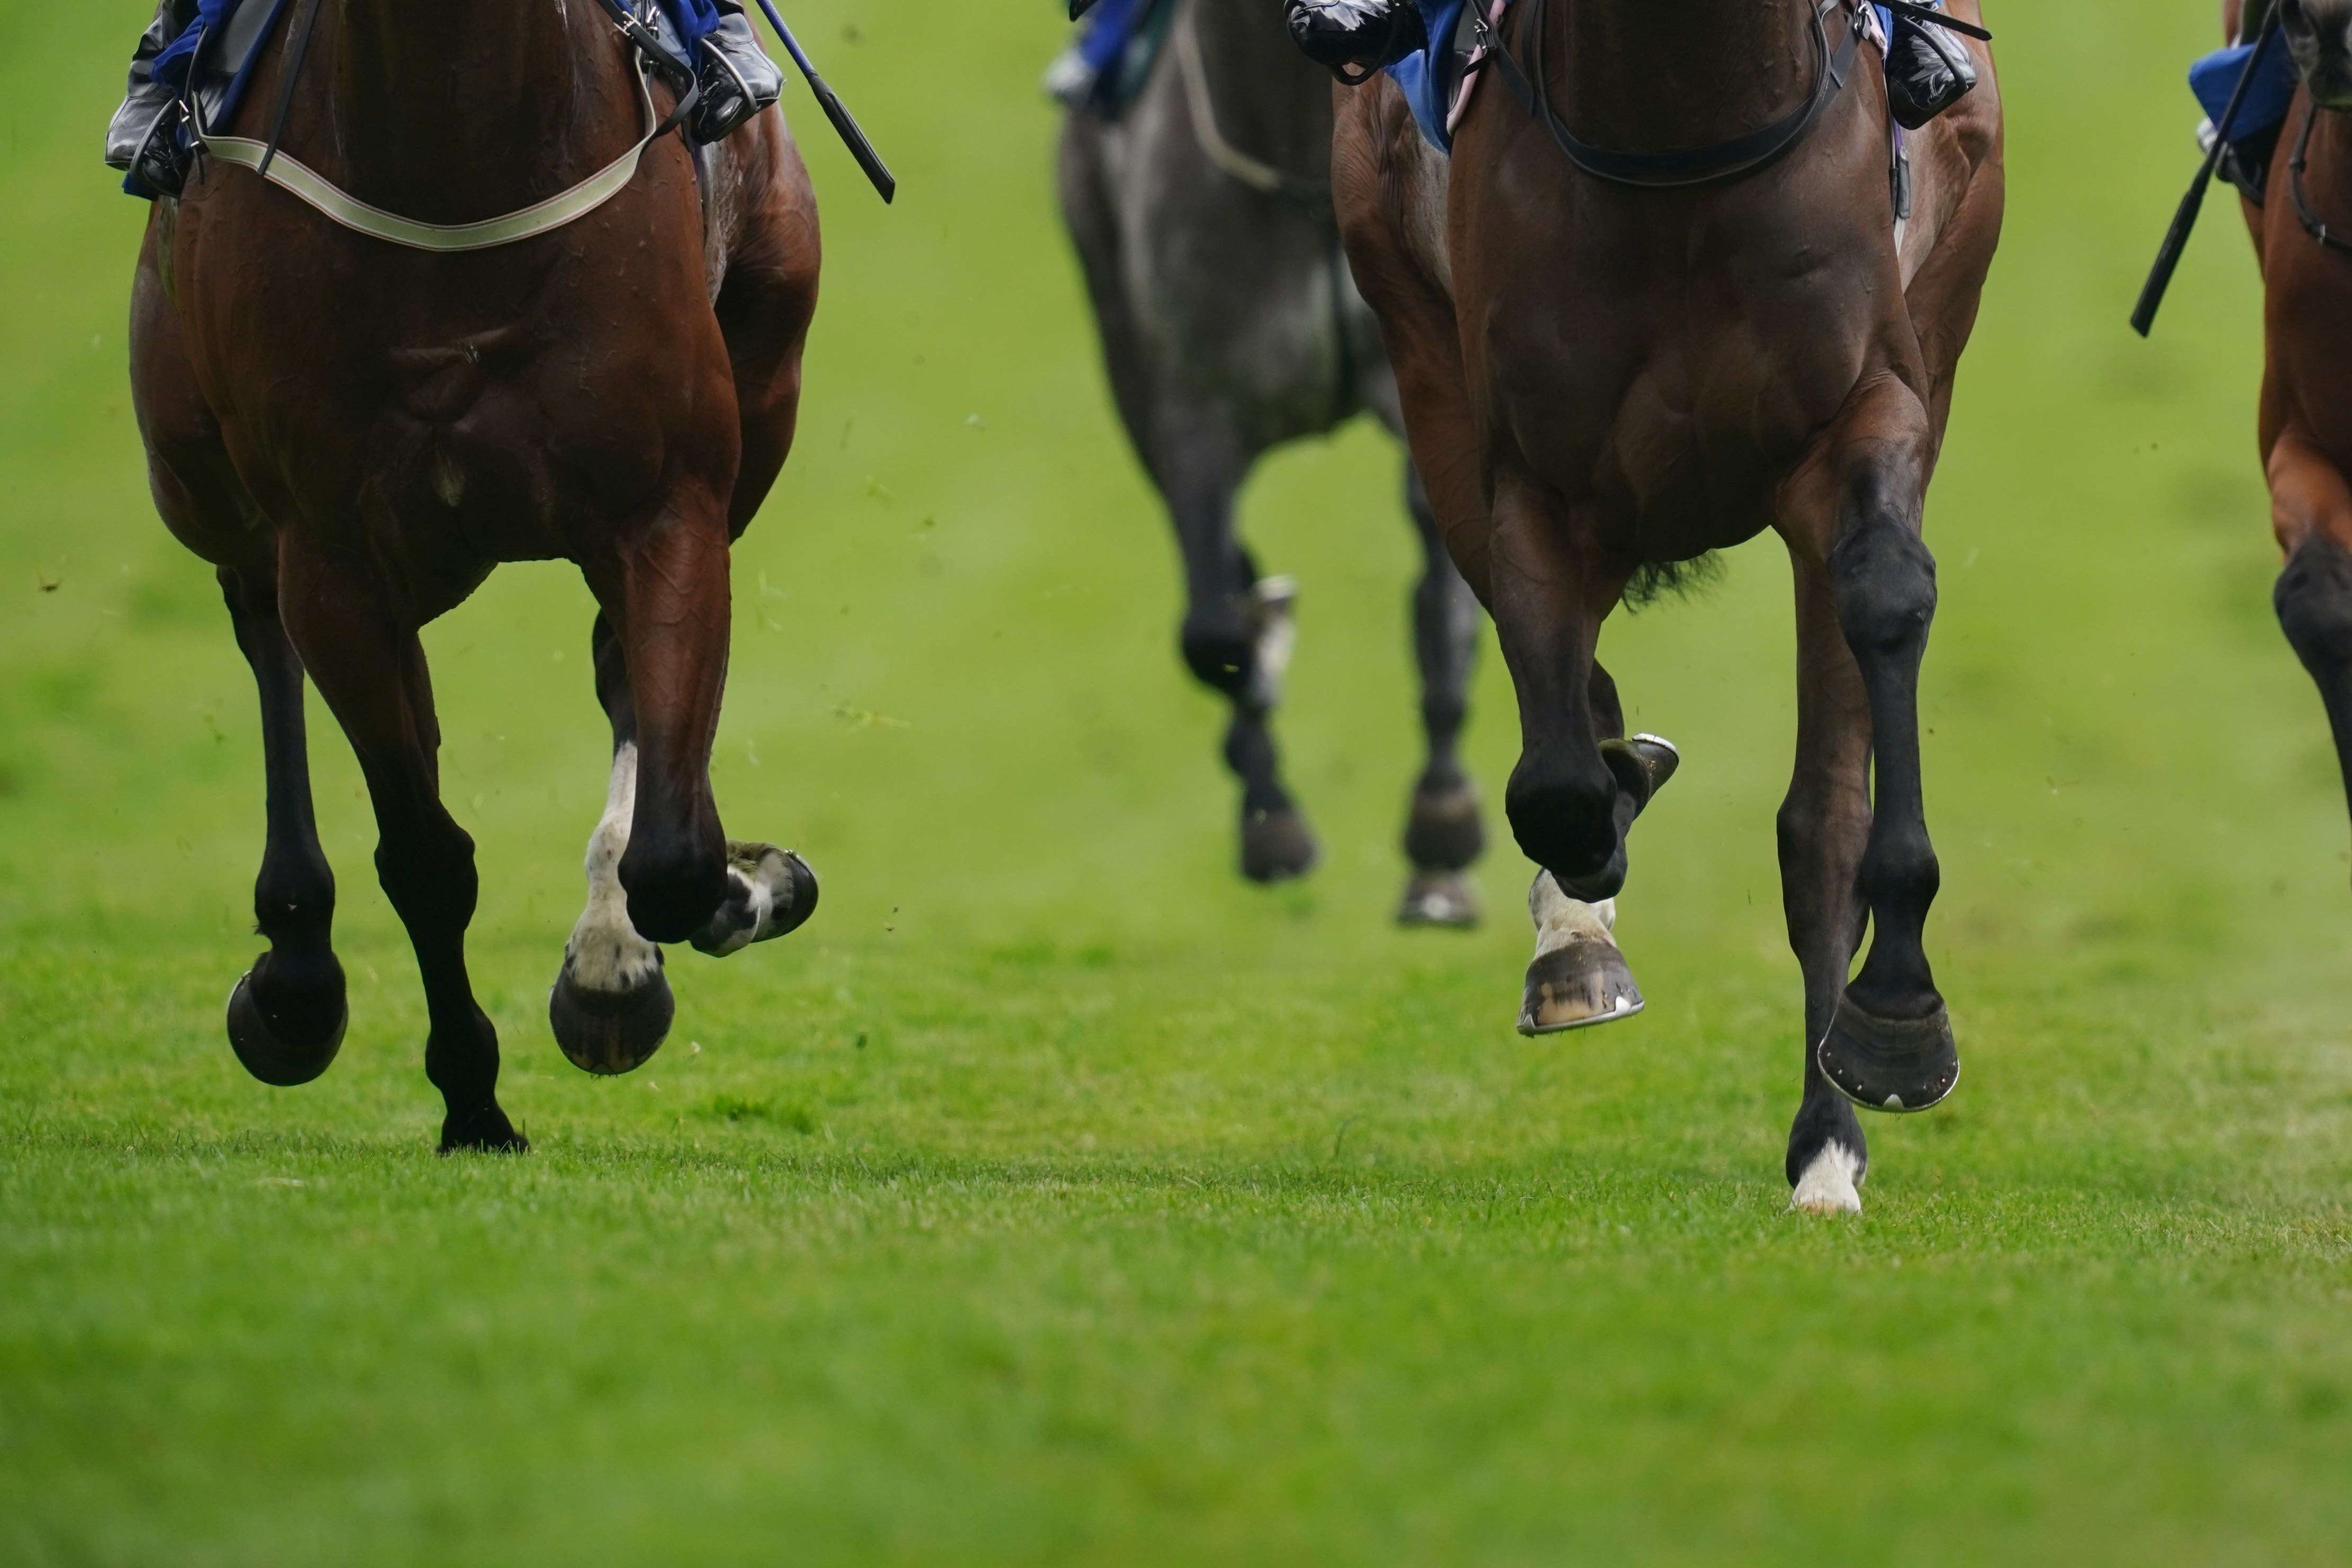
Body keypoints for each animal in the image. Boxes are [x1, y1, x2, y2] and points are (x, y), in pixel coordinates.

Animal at [133, 3, 828, 1152]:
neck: (448, 135)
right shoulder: (331, 555)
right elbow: (424, 857)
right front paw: (471, 1096)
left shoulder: (669, 501)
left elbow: (674, 858)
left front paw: (721, 896)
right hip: (199, 475)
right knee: (261, 623)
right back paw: (295, 970)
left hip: (760, 381)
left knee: (618, 675)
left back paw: (618, 947)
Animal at [1336, 0, 2013, 1213]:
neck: (1676, 109)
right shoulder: (1526, 472)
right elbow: (1556, 782)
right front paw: (1584, 896)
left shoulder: (1862, 409)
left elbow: (1882, 607)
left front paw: (1895, 1021)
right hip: (1422, 355)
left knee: (1816, 812)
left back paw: (1827, 1135)